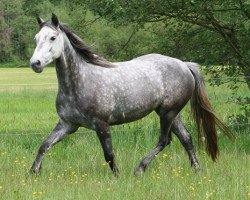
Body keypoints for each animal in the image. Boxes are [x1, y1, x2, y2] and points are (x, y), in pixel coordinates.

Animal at [29, 14, 230, 175]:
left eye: (53, 37)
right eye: (36, 38)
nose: (35, 63)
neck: (80, 81)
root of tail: (185, 65)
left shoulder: (101, 125)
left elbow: (109, 154)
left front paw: (117, 177)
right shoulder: (68, 125)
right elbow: (44, 146)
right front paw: (33, 173)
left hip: (168, 113)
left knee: (165, 140)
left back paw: (140, 168)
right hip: (171, 114)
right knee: (186, 139)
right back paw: (197, 169)